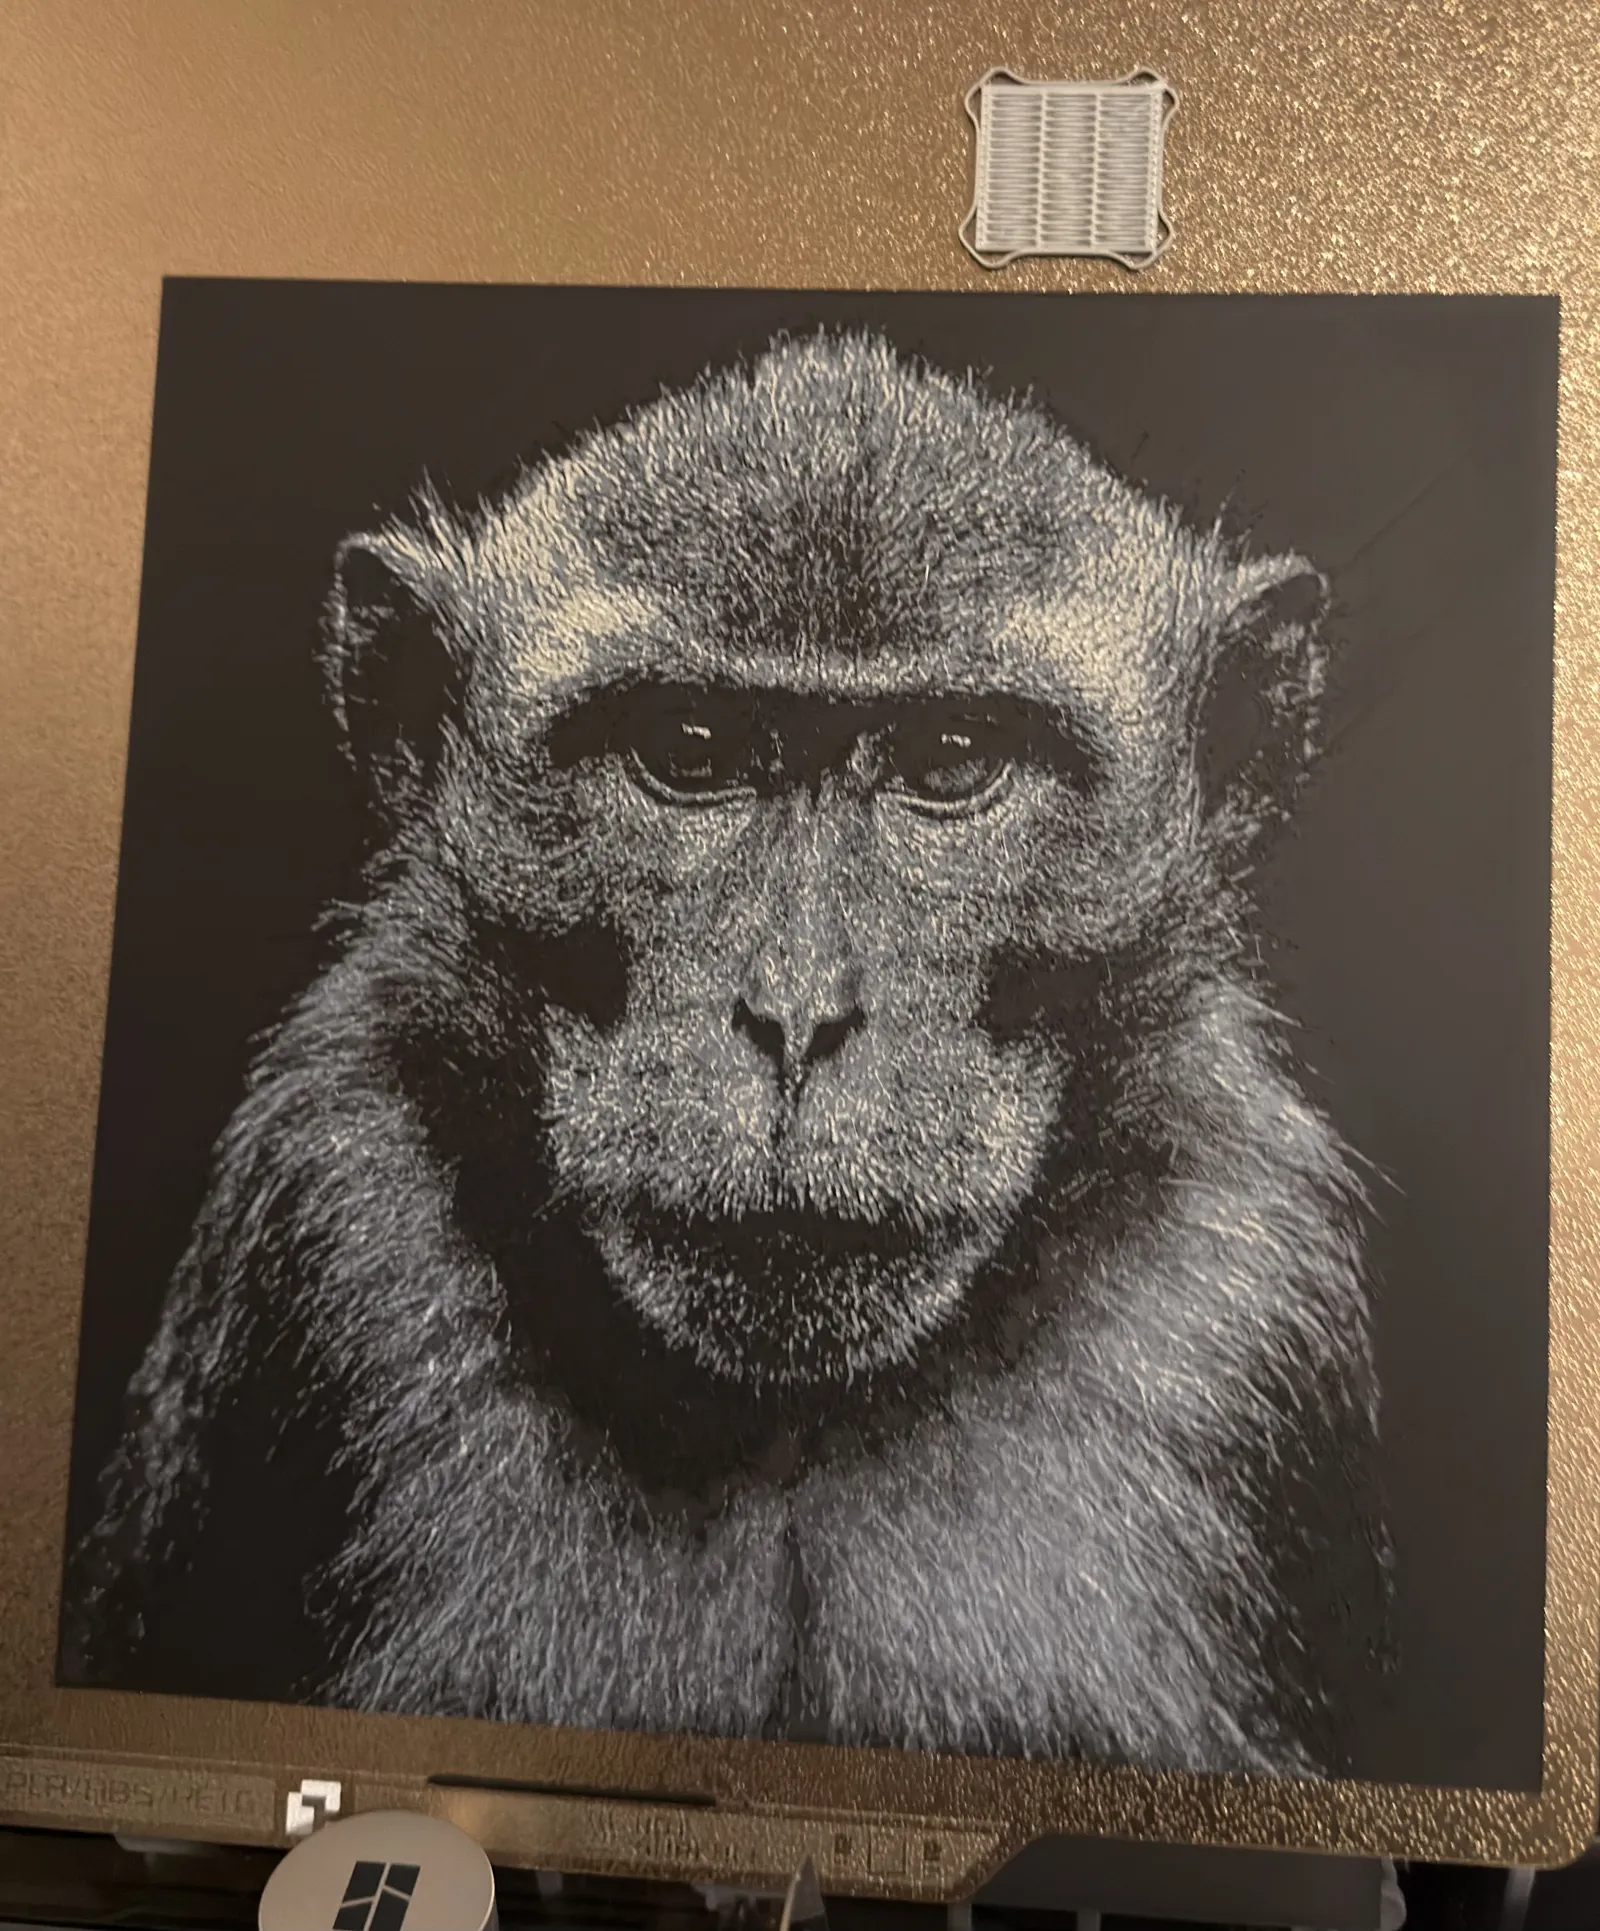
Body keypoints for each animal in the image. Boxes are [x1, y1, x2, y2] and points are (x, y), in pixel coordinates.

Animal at [60, 329, 1387, 1777]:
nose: (796, 1015)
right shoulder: (332, 1214)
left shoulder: (1245, 1286)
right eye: (686, 752)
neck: (786, 1429)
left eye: (951, 760)